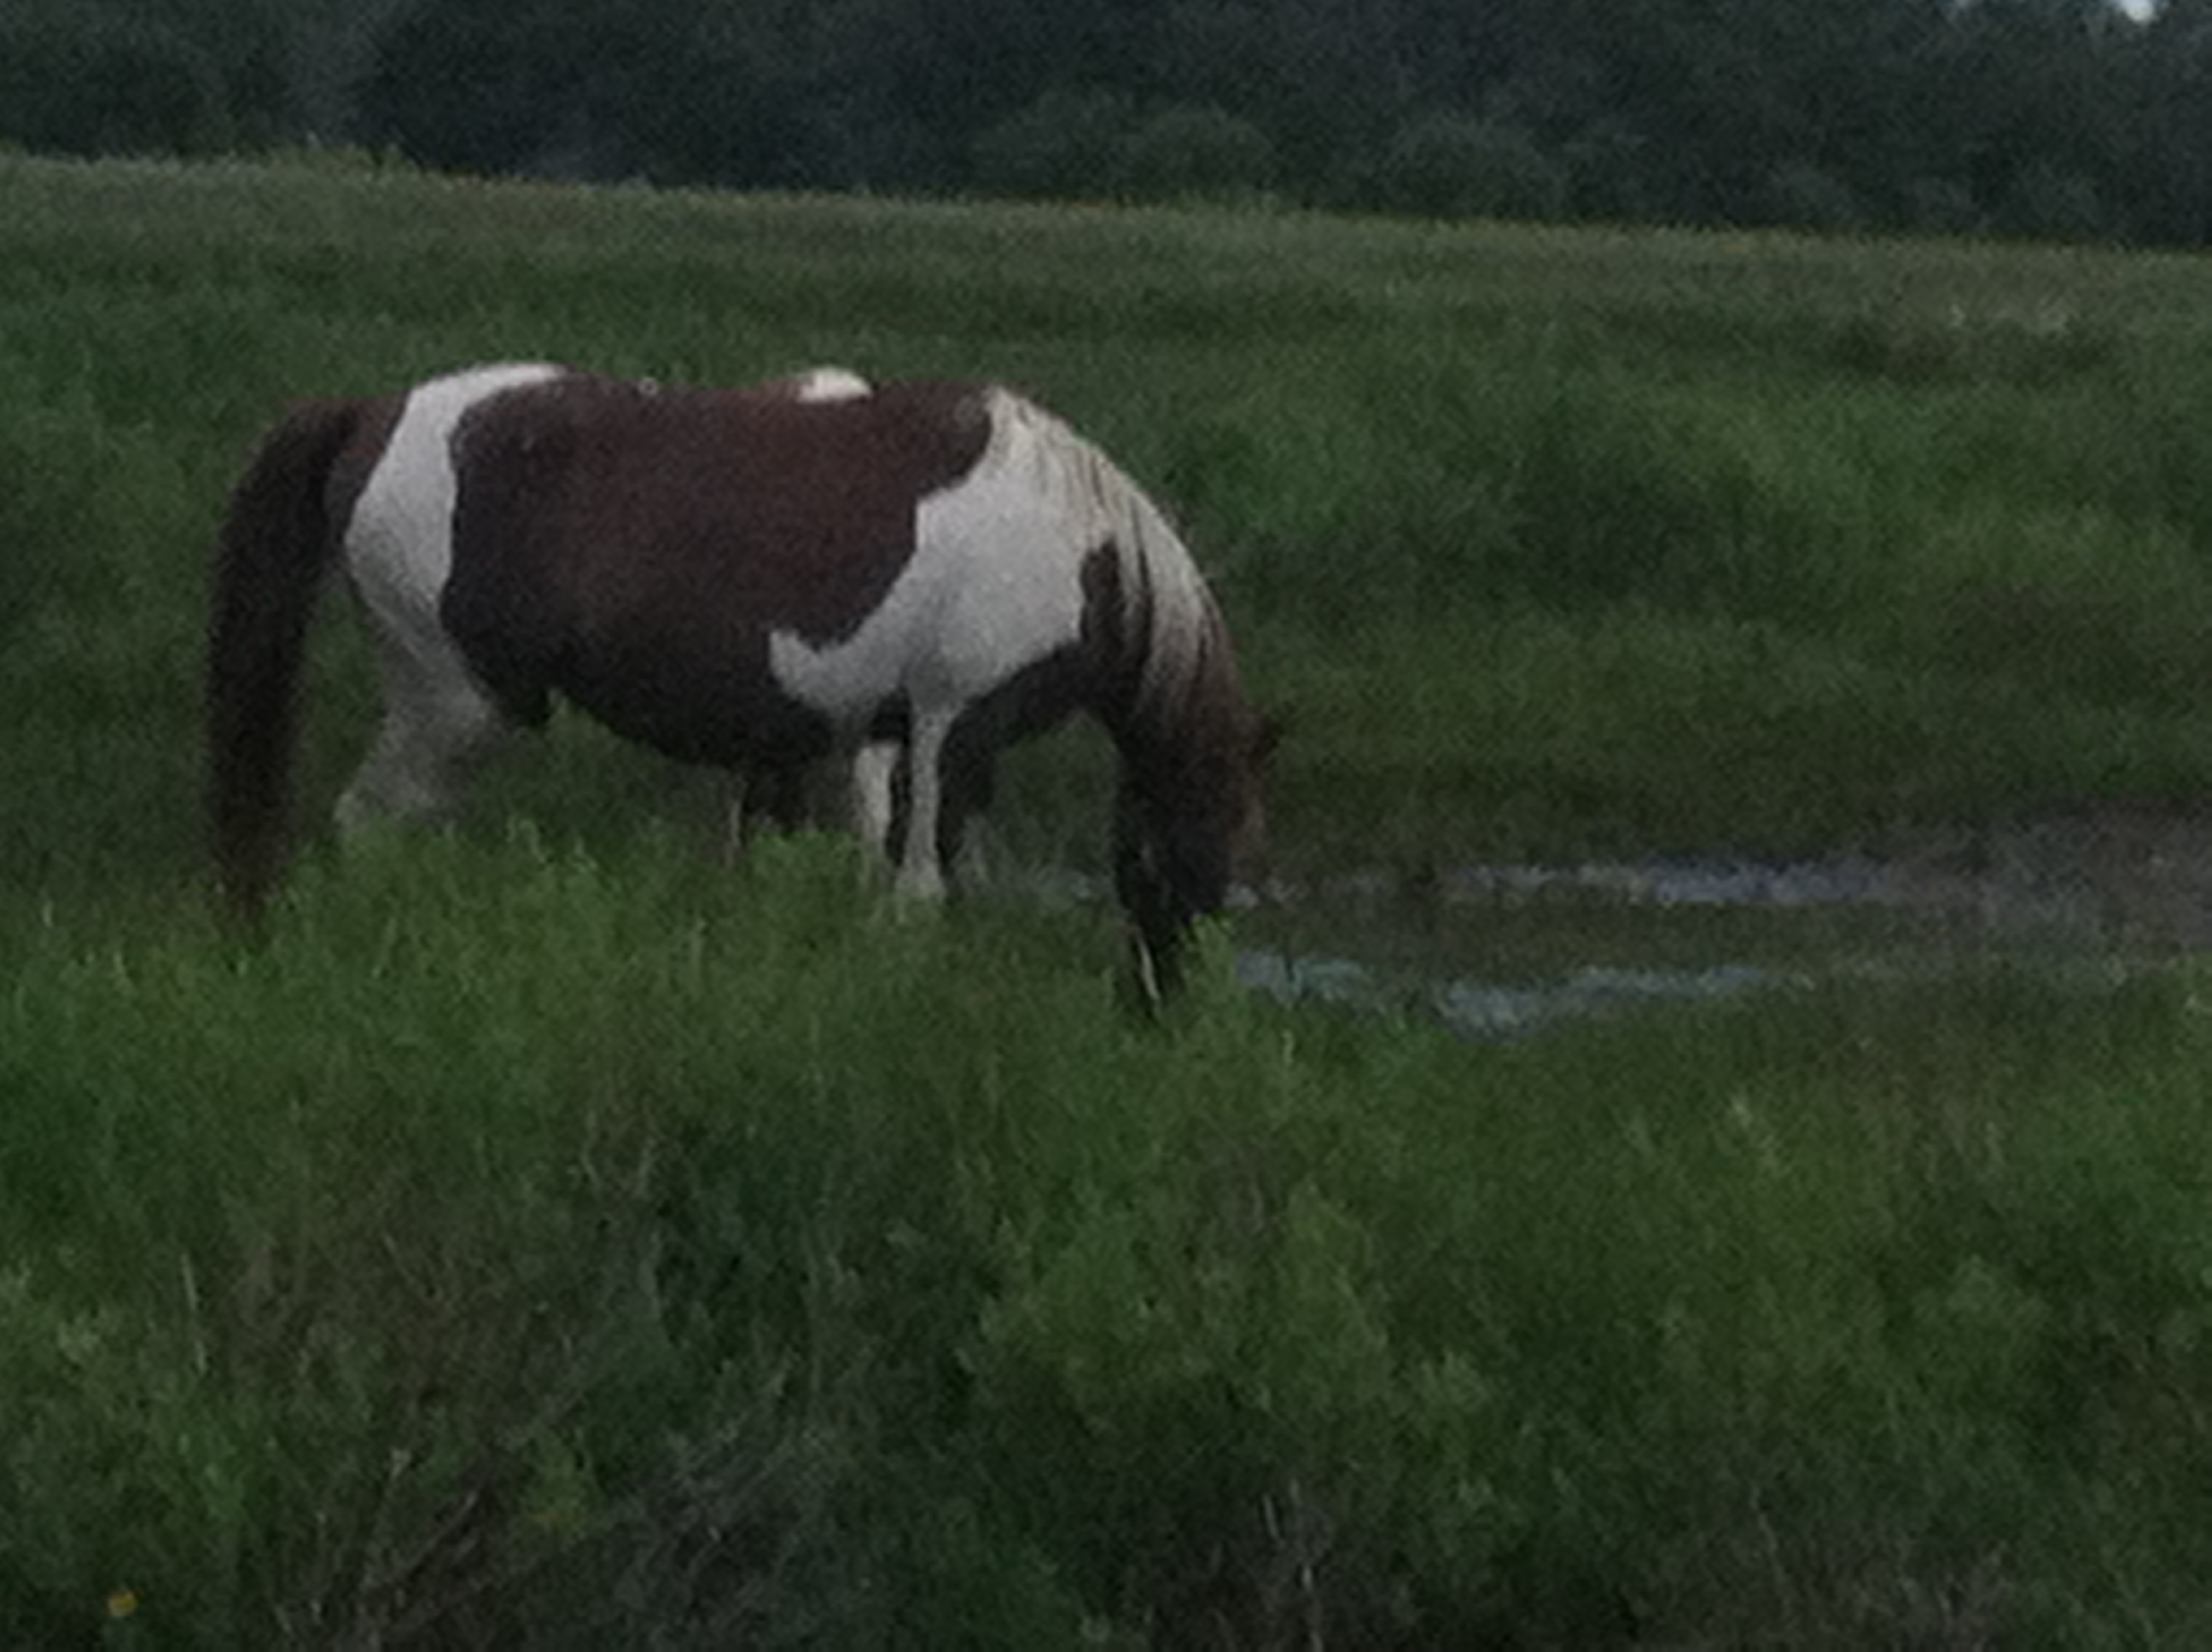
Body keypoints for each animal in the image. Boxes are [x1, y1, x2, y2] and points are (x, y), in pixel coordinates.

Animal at [218, 358, 1283, 981]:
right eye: (1185, 835)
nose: (1163, 996)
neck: (1076, 547)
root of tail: (372, 412)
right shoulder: (954, 728)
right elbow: (919, 891)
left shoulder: (894, 742)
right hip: (454, 704)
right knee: (372, 822)